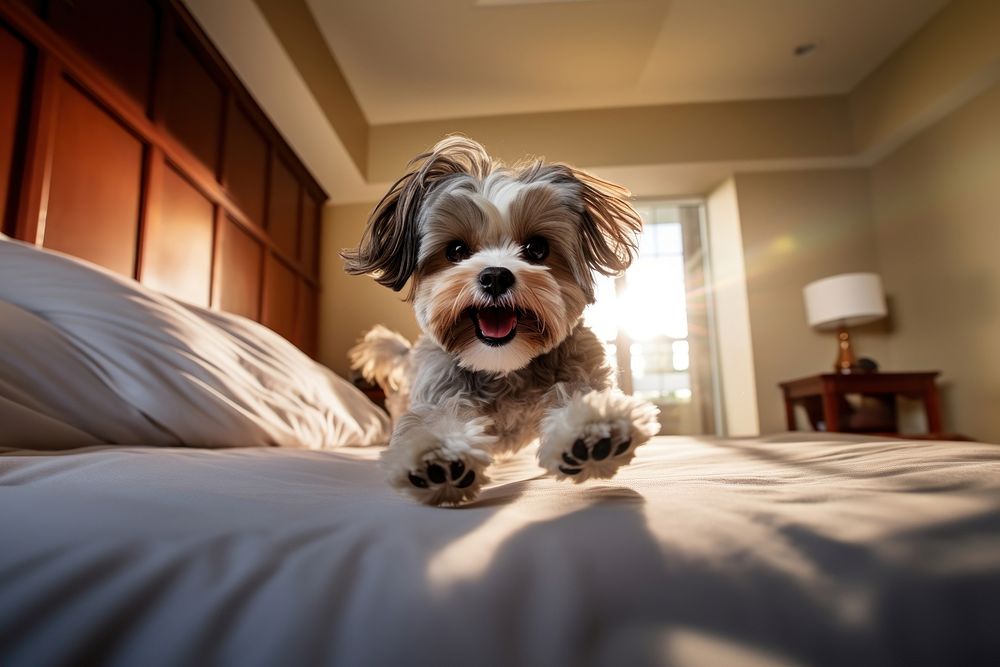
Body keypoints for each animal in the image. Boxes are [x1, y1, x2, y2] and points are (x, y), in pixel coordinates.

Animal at [340, 137, 660, 506]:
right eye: (456, 251)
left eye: (536, 248)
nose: (495, 276)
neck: (504, 368)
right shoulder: (440, 388)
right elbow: (434, 420)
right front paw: (438, 458)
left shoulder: (580, 365)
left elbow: (579, 395)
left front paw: (592, 429)